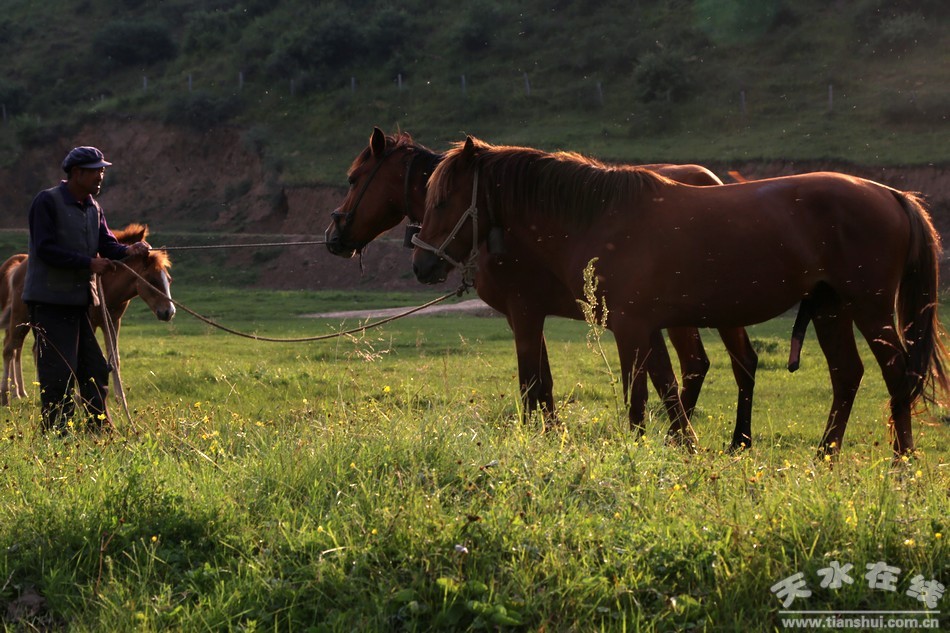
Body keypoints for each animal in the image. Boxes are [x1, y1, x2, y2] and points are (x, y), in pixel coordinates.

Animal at [326, 128, 762, 450]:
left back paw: (714, 439)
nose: (334, 237)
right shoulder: (528, 315)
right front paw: (553, 436)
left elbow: (532, 383)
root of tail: (710, 179)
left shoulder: (524, 313)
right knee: (709, 364)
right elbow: (544, 383)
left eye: (352, 179)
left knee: (720, 363)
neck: (497, 222)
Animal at [412, 136, 949, 456]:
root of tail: (891, 194)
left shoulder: (624, 327)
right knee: (847, 376)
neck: (600, 217)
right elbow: (668, 388)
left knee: (895, 374)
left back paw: (901, 461)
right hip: (832, 309)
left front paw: (640, 451)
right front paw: (683, 448)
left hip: (869, 309)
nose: (421, 265)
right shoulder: (645, 326)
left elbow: (635, 396)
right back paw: (824, 457)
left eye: (443, 200)